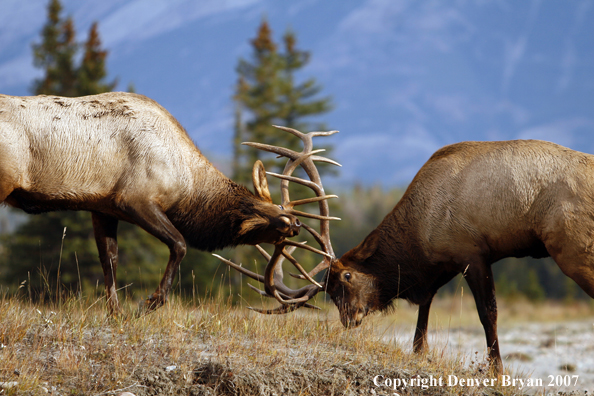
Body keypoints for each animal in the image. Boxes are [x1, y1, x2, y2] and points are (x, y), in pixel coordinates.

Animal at [0, 91, 336, 314]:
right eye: (282, 222)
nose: (298, 223)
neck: (187, 186)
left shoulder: (102, 206)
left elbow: (109, 259)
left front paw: (116, 313)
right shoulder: (135, 198)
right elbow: (180, 243)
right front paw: (149, 302)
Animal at [220, 139, 592, 374]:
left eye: (346, 276)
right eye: (329, 290)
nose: (349, 318)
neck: (419, 234)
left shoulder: (472, 252)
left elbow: (489, 315)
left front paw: (497, 371)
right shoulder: (439, 268)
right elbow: (423, 318)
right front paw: (420, 351)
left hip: (572, 247)